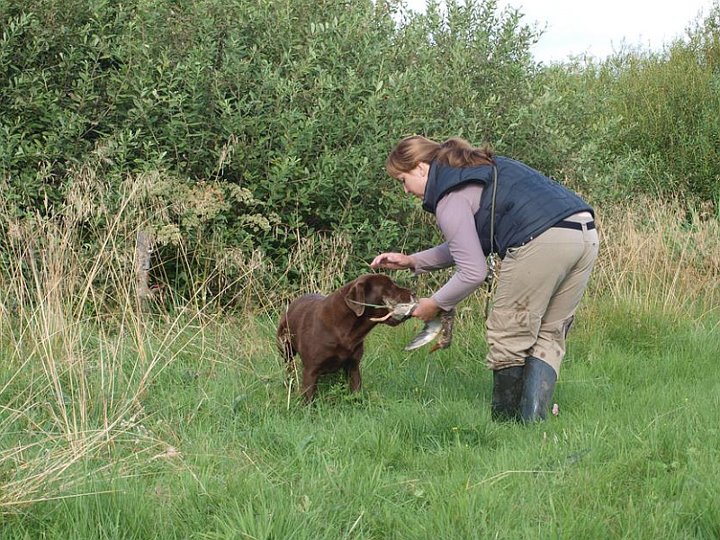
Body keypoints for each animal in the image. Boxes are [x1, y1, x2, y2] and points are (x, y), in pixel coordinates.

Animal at [276, 274, 410, 400]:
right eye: (390, 287)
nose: (412, 292)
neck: (346, 331)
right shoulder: (311, 370)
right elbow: (308, 397)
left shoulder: (353, 367)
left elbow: (356, 391)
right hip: (286, 349)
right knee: (289, 368)